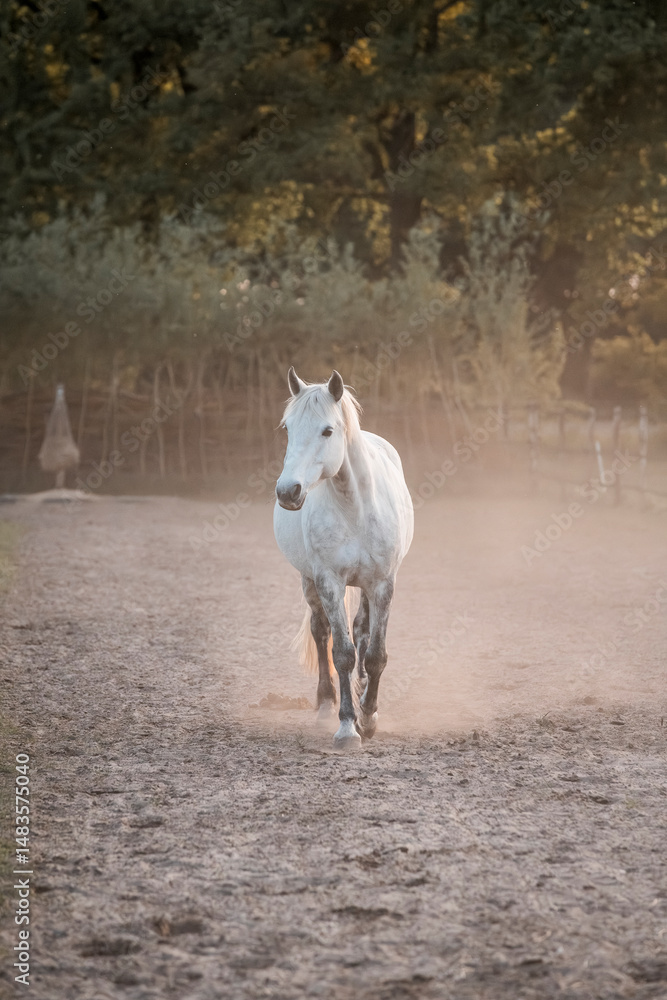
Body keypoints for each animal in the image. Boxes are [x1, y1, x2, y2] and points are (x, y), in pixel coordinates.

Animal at [273, 367, 414, 749]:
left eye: (327, 430)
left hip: (364, 585)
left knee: (362, 630)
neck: (355, 507)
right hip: (308, 580)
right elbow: (343, 654)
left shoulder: (382, 583)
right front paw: (348, 726)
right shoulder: (329, 582)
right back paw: (326, 703)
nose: (287, 491)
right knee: (321, 632)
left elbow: (375, 653)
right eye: (287, 428)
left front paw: (369, 716)